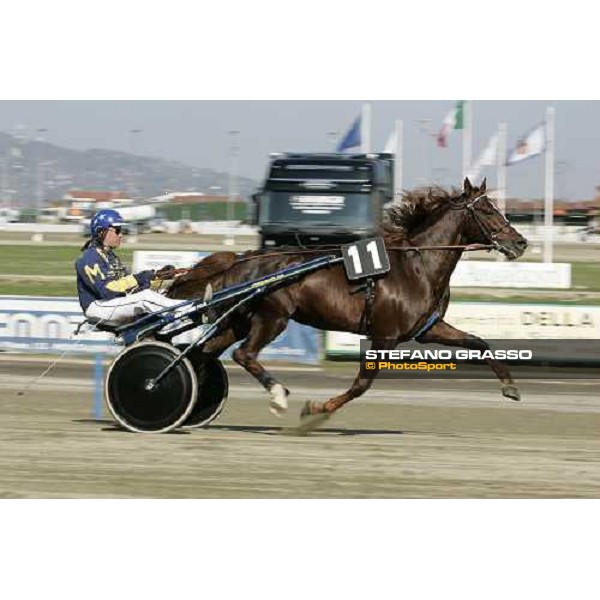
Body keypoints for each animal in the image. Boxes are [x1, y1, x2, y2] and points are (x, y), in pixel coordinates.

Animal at [166, 180, 528, 428]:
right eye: (487, 210)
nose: (520, 242)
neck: (417, 266)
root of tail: (242, 260)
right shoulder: (384, 336)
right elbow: (362, 385)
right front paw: (315, 410)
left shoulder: (428, 329)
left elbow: (479, 343)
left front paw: (510, 387)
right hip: (273, 317)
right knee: (244, 354)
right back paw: (278, 395)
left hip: (239, 320)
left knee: (204, 353)